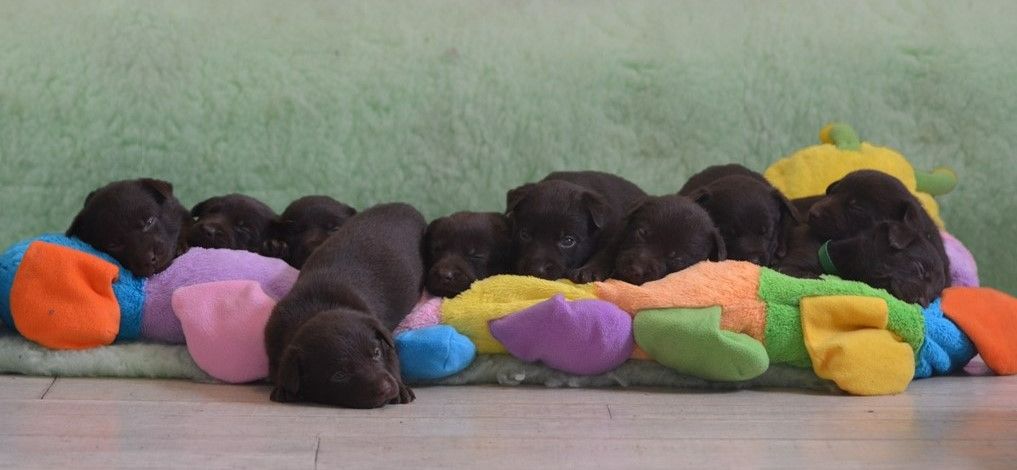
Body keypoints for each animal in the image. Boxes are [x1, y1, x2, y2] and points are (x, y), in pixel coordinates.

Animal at [266, 202, 425, 406]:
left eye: (376, 353)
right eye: (340, 375)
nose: (387, 388)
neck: (319, 307)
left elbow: (392, 356)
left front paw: (401, 387)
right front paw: (283, 387)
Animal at [506, 172, 642, 282]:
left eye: (568, 240)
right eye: (524, 234)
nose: (536, 270)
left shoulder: (614, 233)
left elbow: (605, 252)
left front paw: (588, 271)